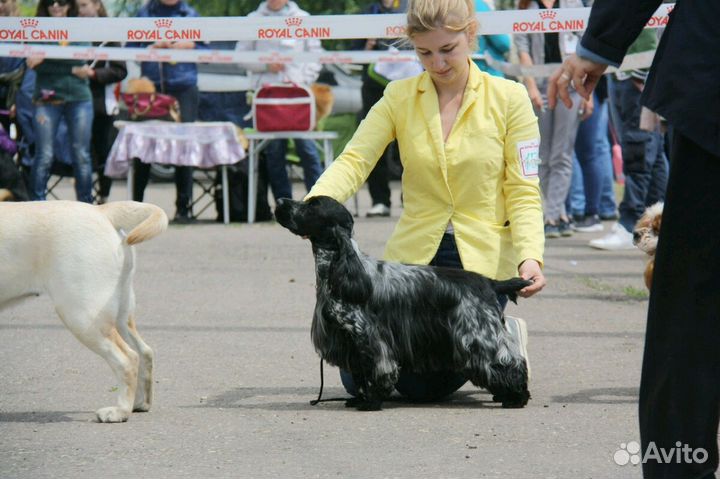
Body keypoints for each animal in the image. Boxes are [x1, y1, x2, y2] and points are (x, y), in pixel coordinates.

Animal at [0, 202, 169, 424]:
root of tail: (101, 210)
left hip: (82, 314)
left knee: (127, 358)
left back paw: (120, 411)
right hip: (120, 314)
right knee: (144, 351)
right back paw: (139, 404)